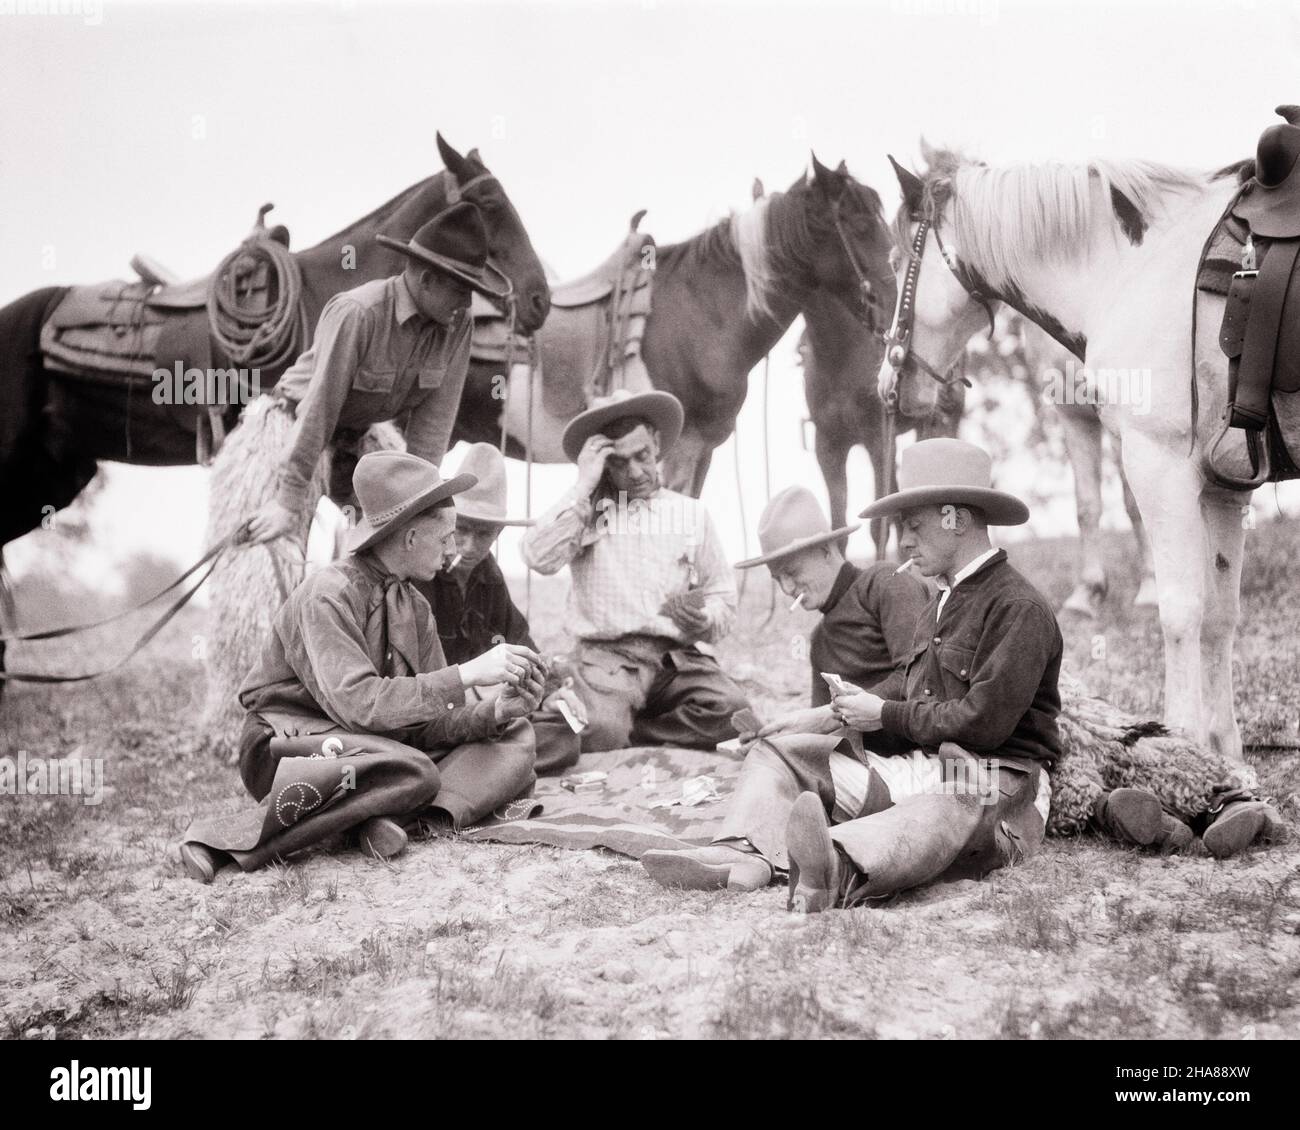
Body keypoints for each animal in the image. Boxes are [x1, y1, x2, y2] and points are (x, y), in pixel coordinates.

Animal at [878, 141, 1253, 759]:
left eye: (893, 262)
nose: (888, 384)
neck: (1139, 270)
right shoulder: (1224, 486)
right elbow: (1220, 615)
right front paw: (1226, 757)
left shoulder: (1160, 463)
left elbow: (1180, 611)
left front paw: (1185, 748)